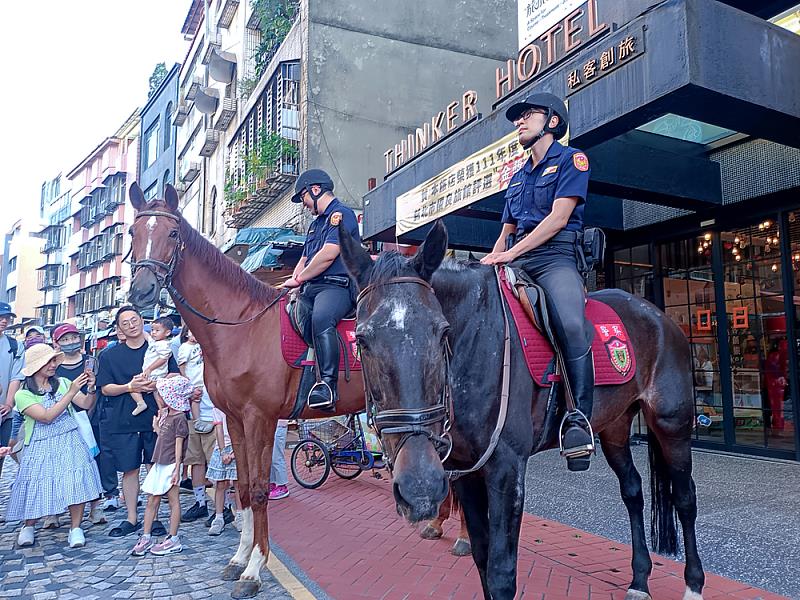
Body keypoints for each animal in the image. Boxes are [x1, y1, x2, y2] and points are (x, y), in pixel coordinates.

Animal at [126, 185, 368, 596]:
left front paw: (255, 568)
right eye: (133, 233)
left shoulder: (261, 418)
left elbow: (257, 490)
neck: (241, 326)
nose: (142, 291)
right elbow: (240, 487)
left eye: (172, 234)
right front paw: (239, 557)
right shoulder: (236, 420)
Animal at [340, 221, 704, 600]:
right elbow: (482, 558)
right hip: (615, 428)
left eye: (442, 332)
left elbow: (501, 574)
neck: (477, 340)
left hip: (671, 424)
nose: (420, 487)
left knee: (685, 498)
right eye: (361, 340)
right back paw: (639, 581)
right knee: (632, 491)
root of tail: (660, 317)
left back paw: (693, 584)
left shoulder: (506, 468)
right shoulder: (464, 469)